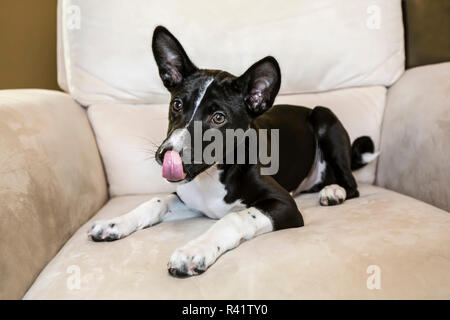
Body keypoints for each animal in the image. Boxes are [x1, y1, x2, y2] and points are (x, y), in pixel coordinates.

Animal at [87, 26, 376, 278]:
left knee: (352, 184)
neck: (214, 176)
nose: (165, 154)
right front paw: (115, 223)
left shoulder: (285, 204)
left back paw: (334, 191)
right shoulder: (187, 198)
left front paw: (194, 251)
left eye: (218, 118)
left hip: (325, 119)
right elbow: (155, 202)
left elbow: (233, 218)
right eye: (177, 104)